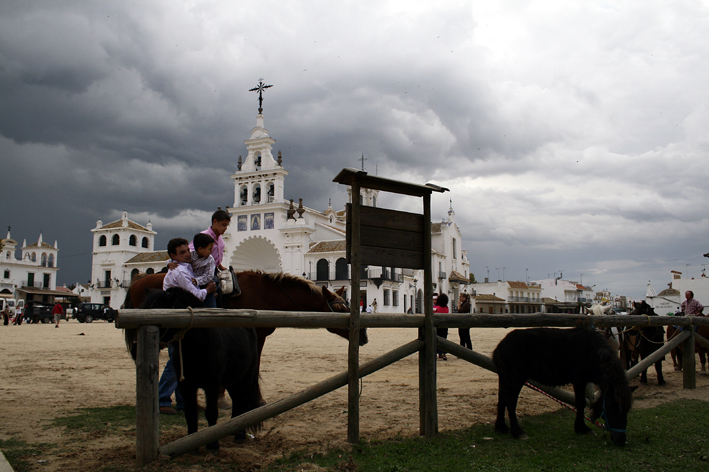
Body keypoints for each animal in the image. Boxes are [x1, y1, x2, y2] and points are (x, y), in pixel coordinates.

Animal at [138, 286, 262, 452]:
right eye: (144, 308)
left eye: (159, 310)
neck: (198, 345)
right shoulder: (186, 385)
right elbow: (190, 413)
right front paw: (191, 445)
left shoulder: (212, 385)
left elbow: (211, 412)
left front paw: (213, 444)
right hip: (232, 380)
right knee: (237, 402)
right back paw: (232, 430)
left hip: (245, 378)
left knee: (241, 402)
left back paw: (240, 435)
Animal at [492, 328, 632, 446]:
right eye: (611, 406)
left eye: (627, 409)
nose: (621, 440)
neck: (591, 351)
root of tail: (501, 345)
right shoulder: (579, 380)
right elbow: (580, 402)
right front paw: (582, 428)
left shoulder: (583, 381)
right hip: (516, 378)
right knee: (510, 401)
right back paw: (517, 432)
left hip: (505, 378)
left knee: (502, 399)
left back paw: (501, 427)